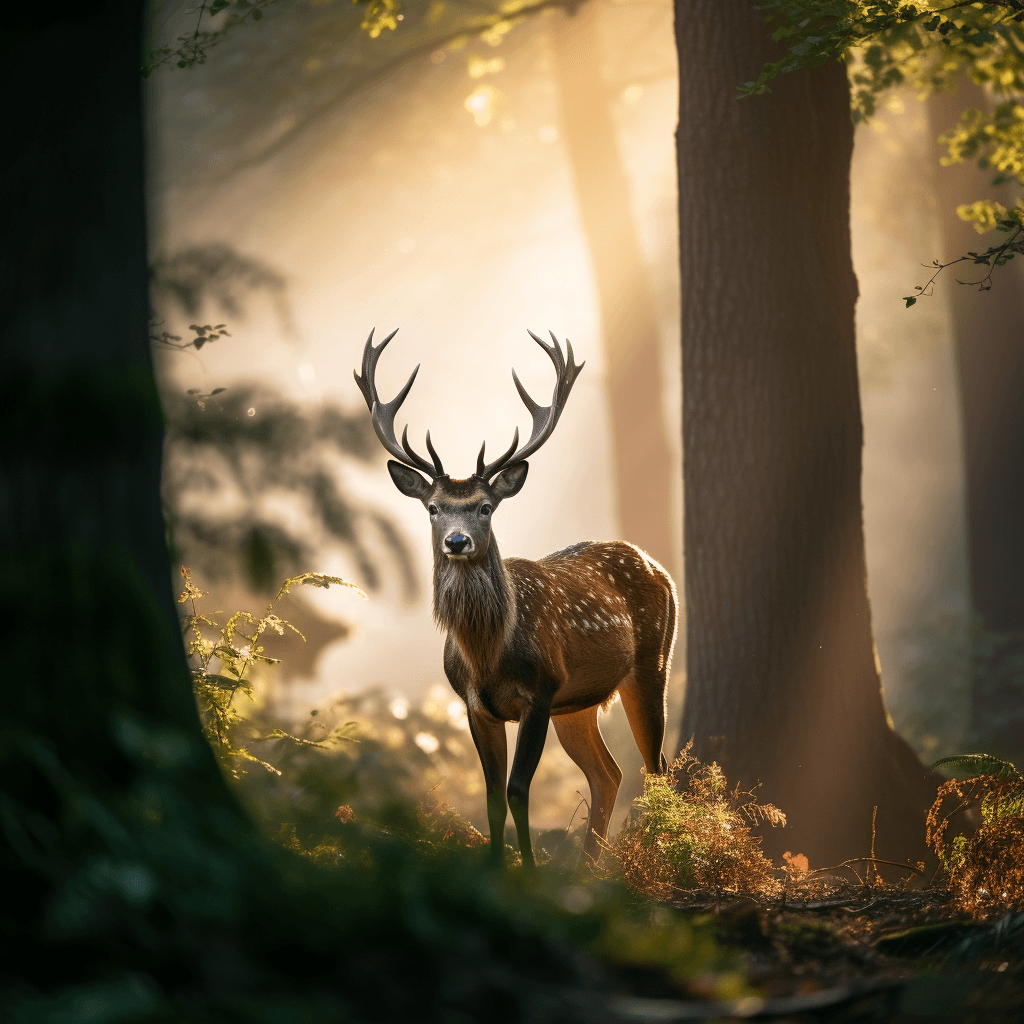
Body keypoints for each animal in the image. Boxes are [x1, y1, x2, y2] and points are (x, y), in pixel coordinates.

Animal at [356, 325, 675, 864]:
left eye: (485, 507)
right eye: (433, 507)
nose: (456, 541)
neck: (488, 653)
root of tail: (660, 567)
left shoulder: (541, 691)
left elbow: (518, 789)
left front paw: (527, 871)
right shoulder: (474, 704)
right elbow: (490, 795)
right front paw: (496, 868)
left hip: (651, 662)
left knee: (656, 770)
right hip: (580, 701)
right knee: (608, 773)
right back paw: (588, 868)